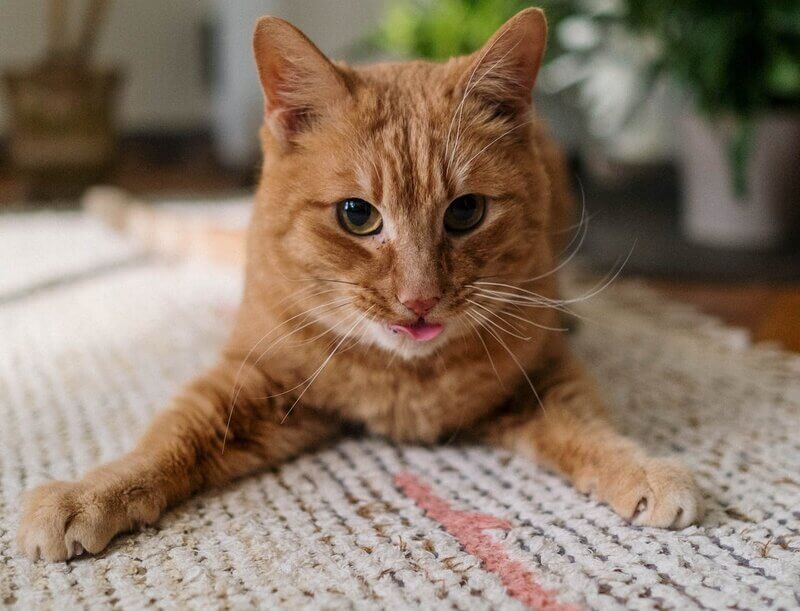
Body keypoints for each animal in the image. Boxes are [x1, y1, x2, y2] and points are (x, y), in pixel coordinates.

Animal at [18, 10, 704, 564]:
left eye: (466, 212)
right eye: (357, 215)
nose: (420, 299)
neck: (406, 382)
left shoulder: (543, 374)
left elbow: (588, 426)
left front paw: (643, 469)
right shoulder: (252, 382)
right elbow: (167, 439)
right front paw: (90, 493)